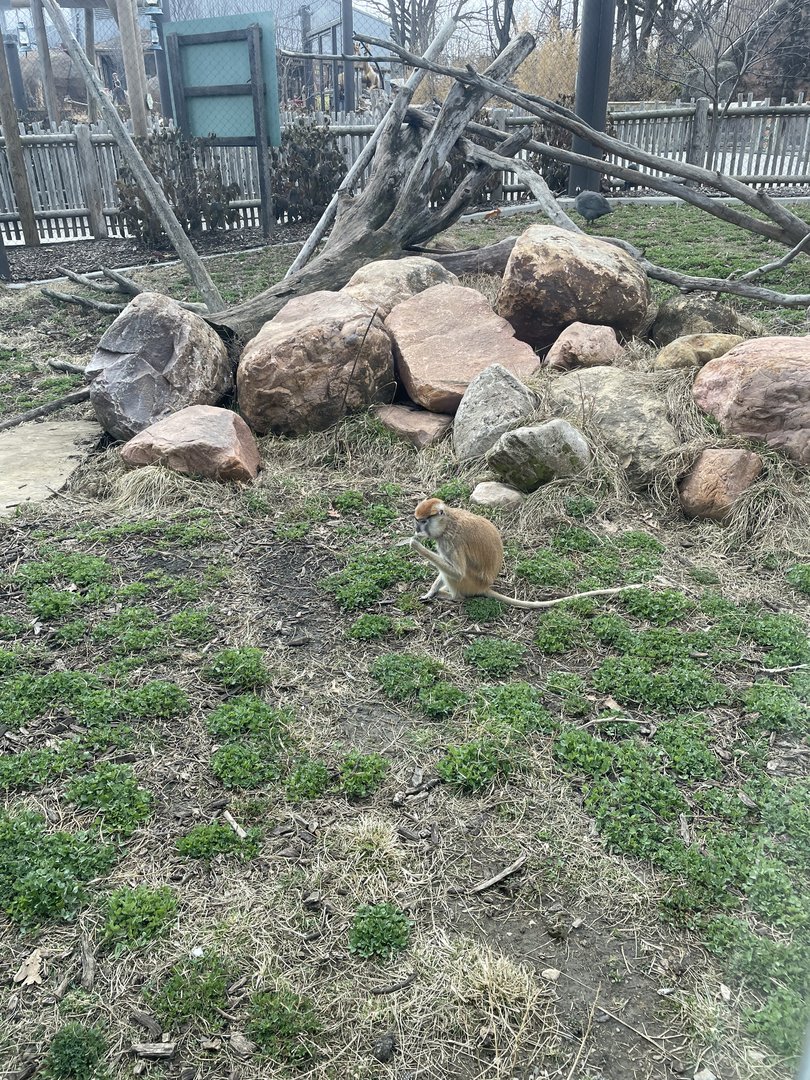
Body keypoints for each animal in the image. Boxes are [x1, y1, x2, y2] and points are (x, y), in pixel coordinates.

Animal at [399, 498, 643, 610]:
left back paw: (453, 597)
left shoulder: (451, 542)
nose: (417, 528)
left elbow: (456, 571)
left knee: (457, 577)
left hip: (470, 583)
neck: (447, 521)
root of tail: (484, 586)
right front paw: (430, 592)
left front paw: (415, 545)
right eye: (417, 520)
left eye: (423, 521)